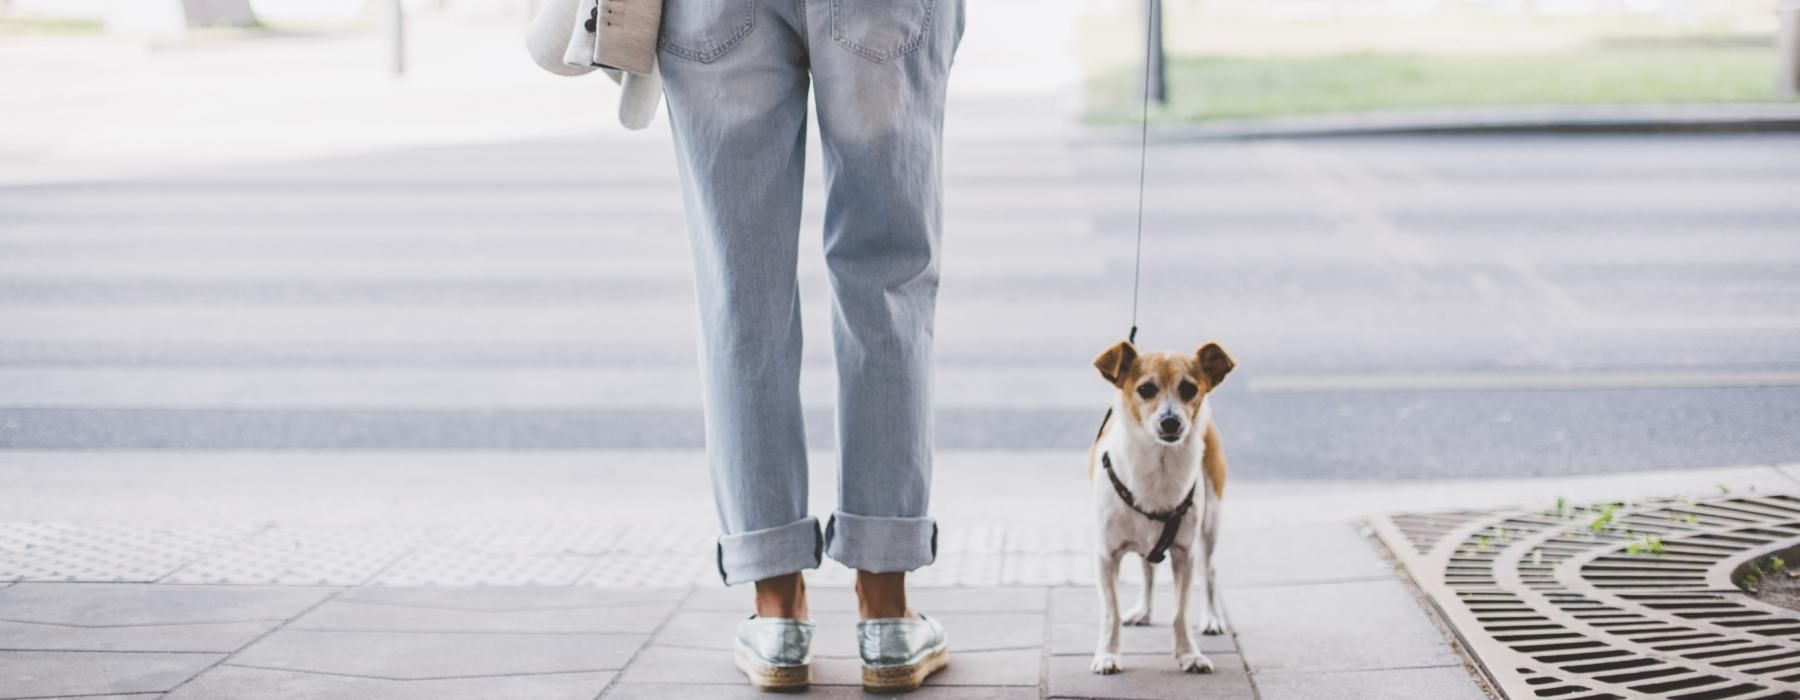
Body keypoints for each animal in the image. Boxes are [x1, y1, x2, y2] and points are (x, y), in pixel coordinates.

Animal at [1080, 340, 1238, 673]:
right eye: (1146, 389)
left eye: (1189, 389)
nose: (1170, 421)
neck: (1158, 469)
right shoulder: (1105, 557)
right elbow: (1111, 612)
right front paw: (1107, 654)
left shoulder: (1184, 555)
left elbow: (1181, 611)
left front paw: (1189, 654)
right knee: (1148, 569)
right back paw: (1143, 610)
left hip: (1210, 522)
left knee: (1209, 570)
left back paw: (1212, 617)